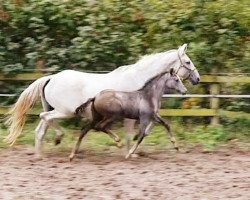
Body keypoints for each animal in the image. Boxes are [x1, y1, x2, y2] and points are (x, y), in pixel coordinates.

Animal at [5, 43, 201, 156]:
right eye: (188, 62)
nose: (197, 79)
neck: (140, 81)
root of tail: (51, 78)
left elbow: (149, 128)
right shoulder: (133, 116)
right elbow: (132, 133)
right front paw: (130, 151)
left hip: (54, 109)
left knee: (40, 129)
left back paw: (41, 154)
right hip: (65, 112)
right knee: (44, 119)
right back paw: (58, 139)